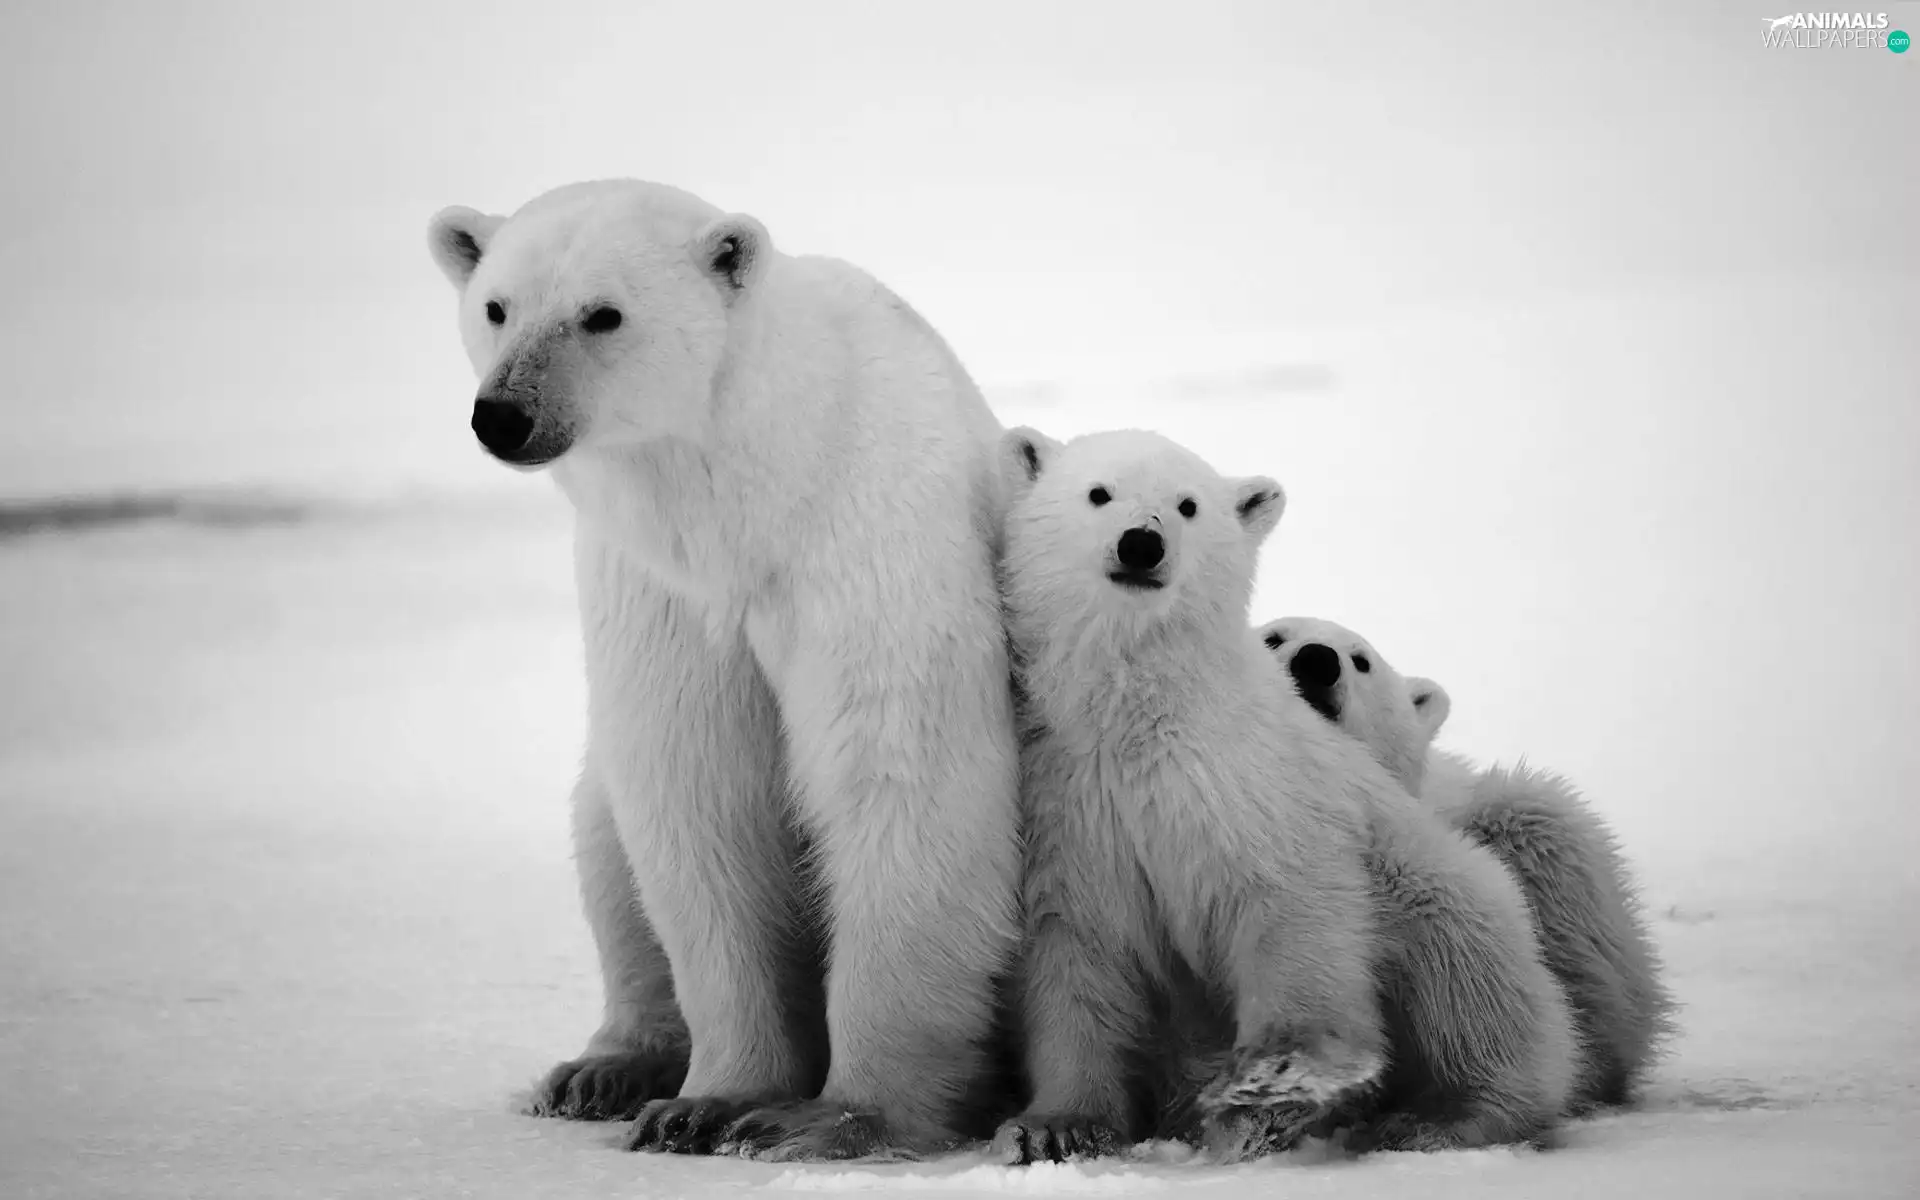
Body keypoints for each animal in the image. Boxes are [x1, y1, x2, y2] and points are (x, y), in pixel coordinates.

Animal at [425, 180, 1024, 1161]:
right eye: (497, 307)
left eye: (603, 313)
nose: (503, 414)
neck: (756, 494)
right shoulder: (662, 591)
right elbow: (697, 794)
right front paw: (706, 1103)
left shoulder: (873, 542)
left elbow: (900, 778)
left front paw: (832, 1118)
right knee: (604, 837)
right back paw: (604, 1069)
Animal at [988, 426, 1579, 1165]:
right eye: (1099, 493)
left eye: (1187, 506)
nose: (1141, 543)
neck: (1139, 717)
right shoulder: (1071, 802)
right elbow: (1078, 955)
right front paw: (1053, 1128)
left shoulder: (1249, 781)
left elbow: (1289, 904)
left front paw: (1272, 1087)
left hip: (1438, 884)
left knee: (1468, 981)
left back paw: (1441, 1118)